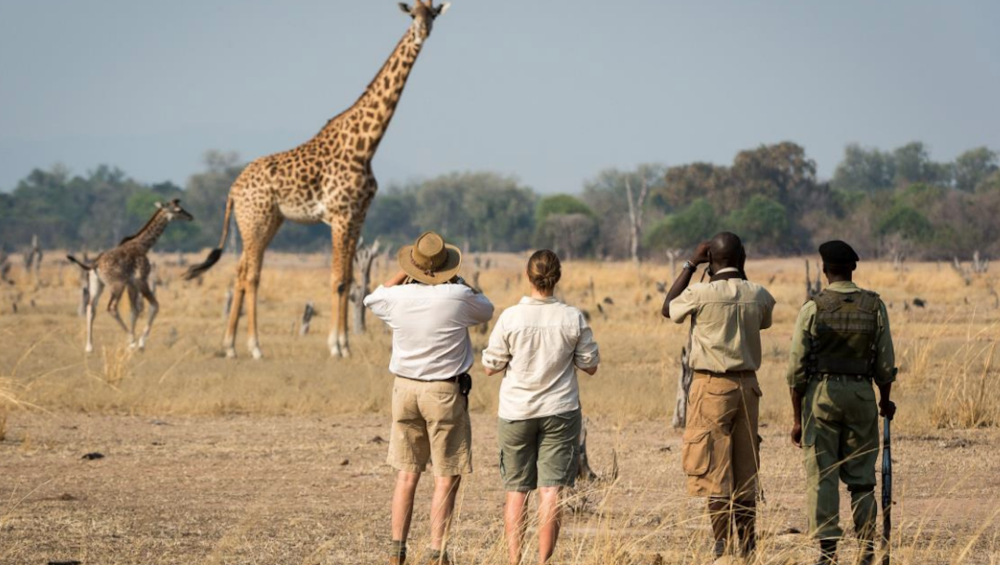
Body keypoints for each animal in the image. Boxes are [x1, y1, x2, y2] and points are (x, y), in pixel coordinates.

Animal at [67, 199, 194, 352]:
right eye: (178, 210)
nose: (190, 216)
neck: (143, 245)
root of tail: (95, 265)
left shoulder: (131, 284)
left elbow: (134, 311)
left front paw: (134, 342)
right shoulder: (141, 279)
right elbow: (154, 306)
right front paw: (139, 343)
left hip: (97, 284)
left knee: (91, 308)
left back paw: (89, 347)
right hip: (117, 284)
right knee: (111, 307)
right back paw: (131, 340)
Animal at [186, 0, 452, 360]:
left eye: (433, 14)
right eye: (413, 15)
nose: (422, 32)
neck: (365, 145)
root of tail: (232, 190)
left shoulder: (357, 216)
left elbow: (350, 278)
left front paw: (346, 344)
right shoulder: (340, 215)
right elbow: (338, 279)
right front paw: (336, 346)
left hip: (266, 222)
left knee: (239, 272)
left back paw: (229, 346)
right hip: (255, 220)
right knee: (252, 275)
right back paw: (254, 347)